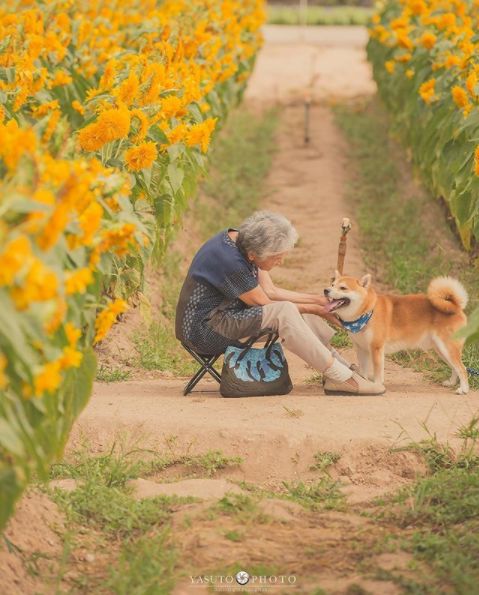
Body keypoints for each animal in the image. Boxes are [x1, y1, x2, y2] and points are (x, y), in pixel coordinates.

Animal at [324, 272, 470, 394]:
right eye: (332, 284)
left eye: (343, 288)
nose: (326, 290)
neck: (366, 312)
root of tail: (455, 306)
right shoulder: (362, 349)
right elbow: (363, 371)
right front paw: (365, 384)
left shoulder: (376, 348)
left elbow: (377, 372)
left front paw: (377, 385)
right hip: (441, 350)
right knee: (455, 368)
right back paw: (451, 383)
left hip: (447, 348)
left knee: (462, 369)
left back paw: (463, 389)